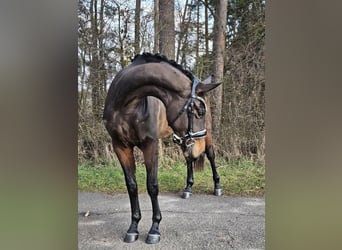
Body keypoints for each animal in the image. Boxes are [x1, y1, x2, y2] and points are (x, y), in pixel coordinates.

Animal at [103, 53, 223, 244]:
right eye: (198, 111)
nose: (198, 148)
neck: (126, 106)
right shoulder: (120, 147)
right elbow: (132, 185)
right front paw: (133, 228)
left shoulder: (150, 145)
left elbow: (152, 186)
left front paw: (154, 229)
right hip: (184, 140)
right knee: (189, 159)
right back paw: (188, 188)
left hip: (207, 136)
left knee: (210, 155)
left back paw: (217, 187)